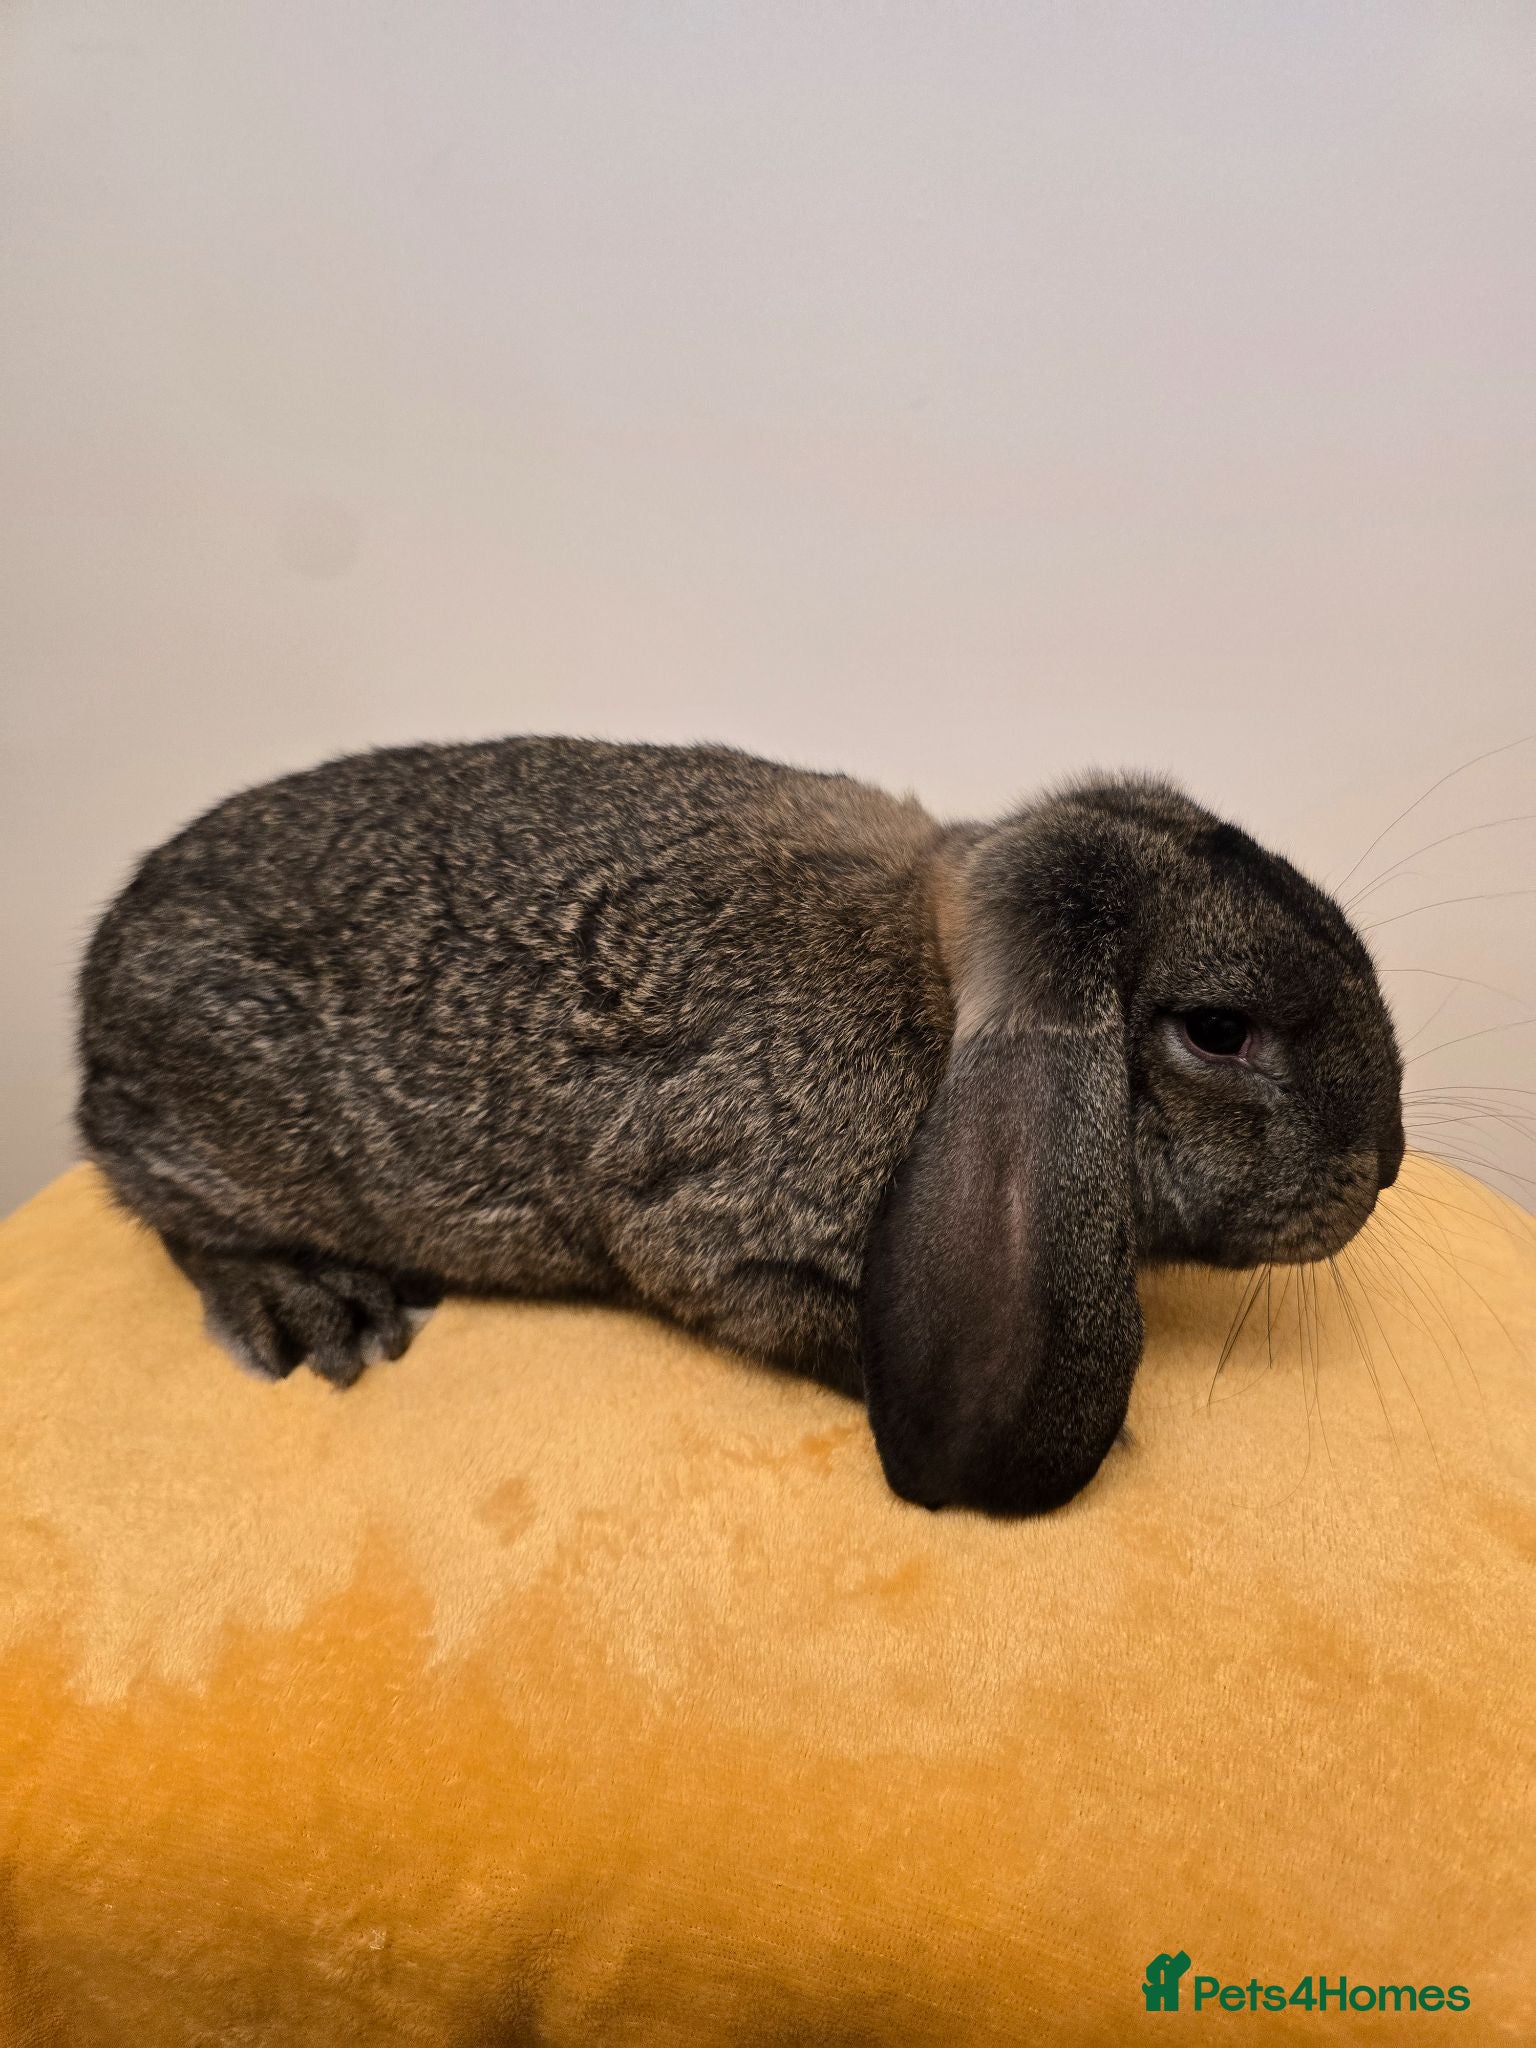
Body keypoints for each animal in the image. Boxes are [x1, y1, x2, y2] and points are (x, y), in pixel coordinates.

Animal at [77, 738, 1405, 1515]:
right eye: (1218, 1029)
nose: (1383, 1166)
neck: (936, 991)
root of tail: (98, 990)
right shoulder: (714, 1237)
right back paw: (315, 1305)